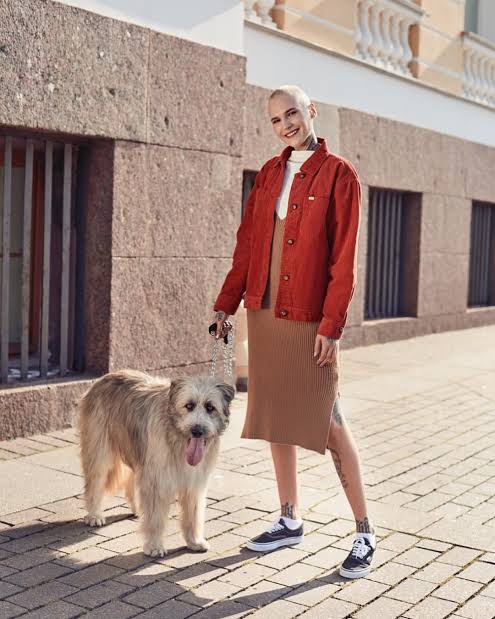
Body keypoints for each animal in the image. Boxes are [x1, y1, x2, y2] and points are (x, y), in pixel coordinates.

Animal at [78, 370, 235, 557]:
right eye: (189, 405)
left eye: (210, 407)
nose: (197, 431)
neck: (177, 437)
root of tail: (104, 377)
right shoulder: (157, 479)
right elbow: (155, 517)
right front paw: (154, 546)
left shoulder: (194, 481)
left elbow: (194, 514)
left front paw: (194, 541)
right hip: (100, 450)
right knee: (94, 483)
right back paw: (94, 515)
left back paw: (138, 509)